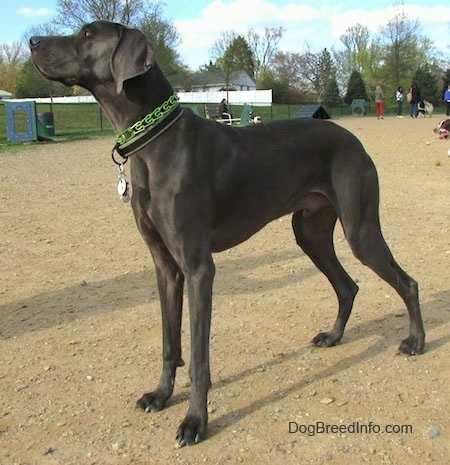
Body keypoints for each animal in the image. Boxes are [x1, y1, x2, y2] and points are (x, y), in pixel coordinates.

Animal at [30, 20, 426, 446]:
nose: (32, 41)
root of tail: (355, 140)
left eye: (88, 34)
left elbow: (199, 359)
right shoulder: (165, 267)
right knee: (347, 286)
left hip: (360, 229)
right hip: (310, 233)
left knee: (407, 282)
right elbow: (170, 342)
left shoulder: (199, 269)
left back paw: (416, 341)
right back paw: (334, 336)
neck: (156, 144)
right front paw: (161, 395)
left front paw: (194, 421)